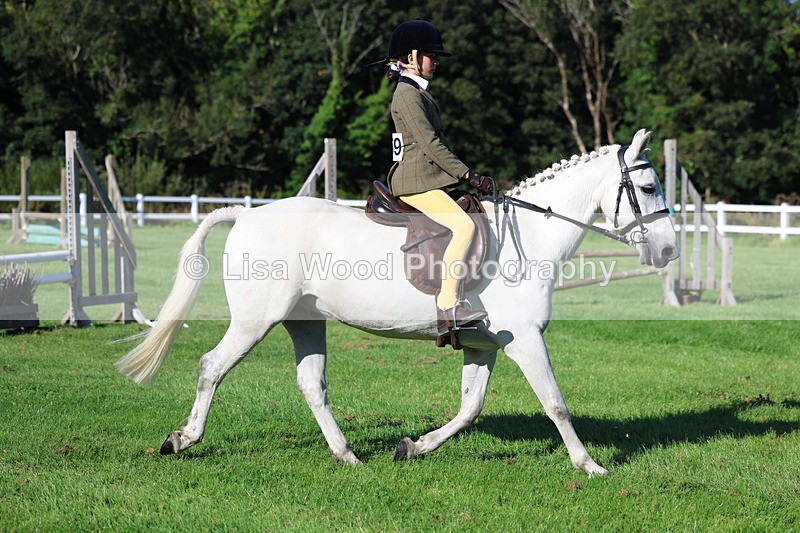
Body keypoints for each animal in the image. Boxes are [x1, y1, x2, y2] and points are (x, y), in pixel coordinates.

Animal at [117, 129, 678, 475]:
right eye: (649, 186)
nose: (669, 251)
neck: (531, 237)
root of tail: (248, 214)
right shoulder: (525, 342)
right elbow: (556, 404)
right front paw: (590, 465)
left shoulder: (485, 345)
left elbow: (469, 408)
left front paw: (413, 446)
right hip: (256, 321)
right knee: (212, 366)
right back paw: (182, 439)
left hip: (305, 322)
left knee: (312, 384)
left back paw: (347, 456)